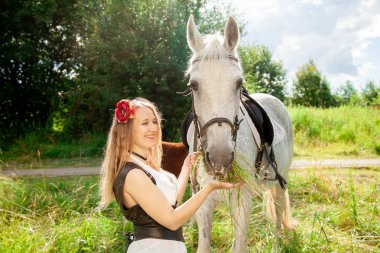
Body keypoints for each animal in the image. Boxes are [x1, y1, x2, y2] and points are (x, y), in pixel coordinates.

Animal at [186, 15, 296, 253]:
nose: (219, 158)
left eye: (239, 83)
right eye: (193, 85)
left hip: (280, 180)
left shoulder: (242, 201)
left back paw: (276, 242)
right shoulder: (203, 202)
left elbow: (239, 244)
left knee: (278, 210)